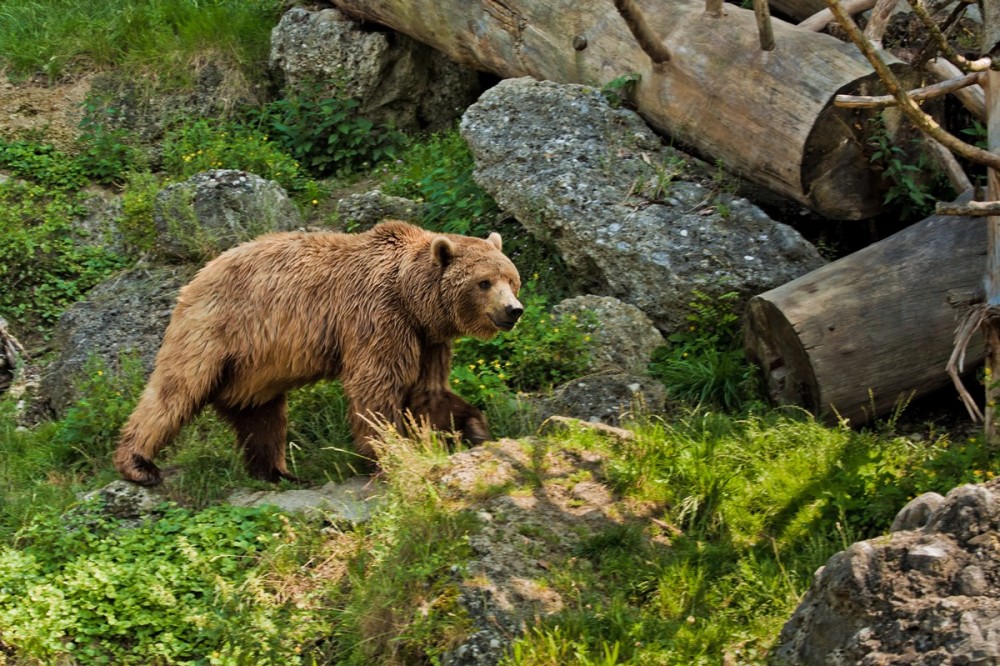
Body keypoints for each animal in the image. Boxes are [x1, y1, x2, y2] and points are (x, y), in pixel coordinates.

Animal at [114, 220, 524, 486]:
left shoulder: (428, 340)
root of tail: (195, 277)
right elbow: (376, 387)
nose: (513, 310)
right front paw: (391, 453)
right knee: (175, 389)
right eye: (484, 282)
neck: (413, 298)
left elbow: (428, 393)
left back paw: (278, 472)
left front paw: (475, 428)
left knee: (260, 414)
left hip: (253, 368)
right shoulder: (378, 318)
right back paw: (139, 465)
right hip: (216, 329)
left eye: (512, 279)